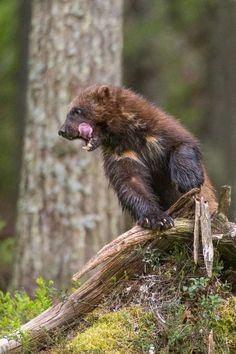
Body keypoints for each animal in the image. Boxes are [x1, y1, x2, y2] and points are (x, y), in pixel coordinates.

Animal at [58, 84, 217, 231]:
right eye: (69, 110)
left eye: (77, 110)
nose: (62, 131)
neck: (132, 139)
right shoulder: (122, 155)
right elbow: (131, 184)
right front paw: (157, 218)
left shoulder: (163, 129)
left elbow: (184, 144)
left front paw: (188, 179)